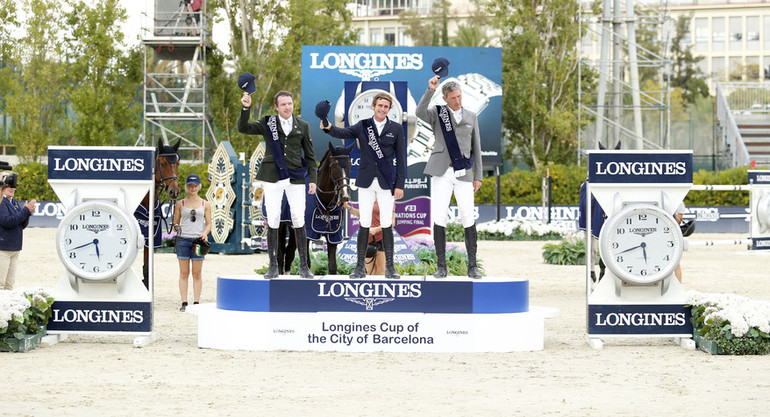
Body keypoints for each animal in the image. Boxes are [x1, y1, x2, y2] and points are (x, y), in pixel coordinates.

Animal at [304, 141, 356, 274]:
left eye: (349, 164)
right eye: (334, 165)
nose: (345, 195)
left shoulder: (333, 236)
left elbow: (332, 266)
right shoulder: (308, 232)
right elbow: (307, 262)